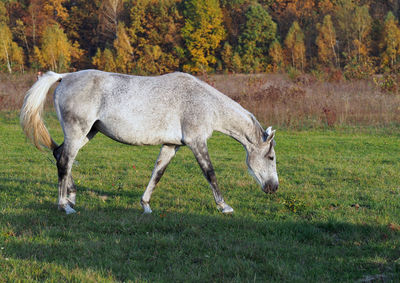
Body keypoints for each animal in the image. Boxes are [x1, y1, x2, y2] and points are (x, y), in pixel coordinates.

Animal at [20, 70, 278, 215]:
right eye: (271, 157)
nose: (273, 187)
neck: (205, 103)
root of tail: (64, 77)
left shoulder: (171, 146)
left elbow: (157, 174)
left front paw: (145, 205)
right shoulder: (197, 142)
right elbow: (210, 173)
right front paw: (224, 206)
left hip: (88, 133)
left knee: (61, 156)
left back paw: (71, 198)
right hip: (78, 131)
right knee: (64, 161)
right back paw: (64, 206)